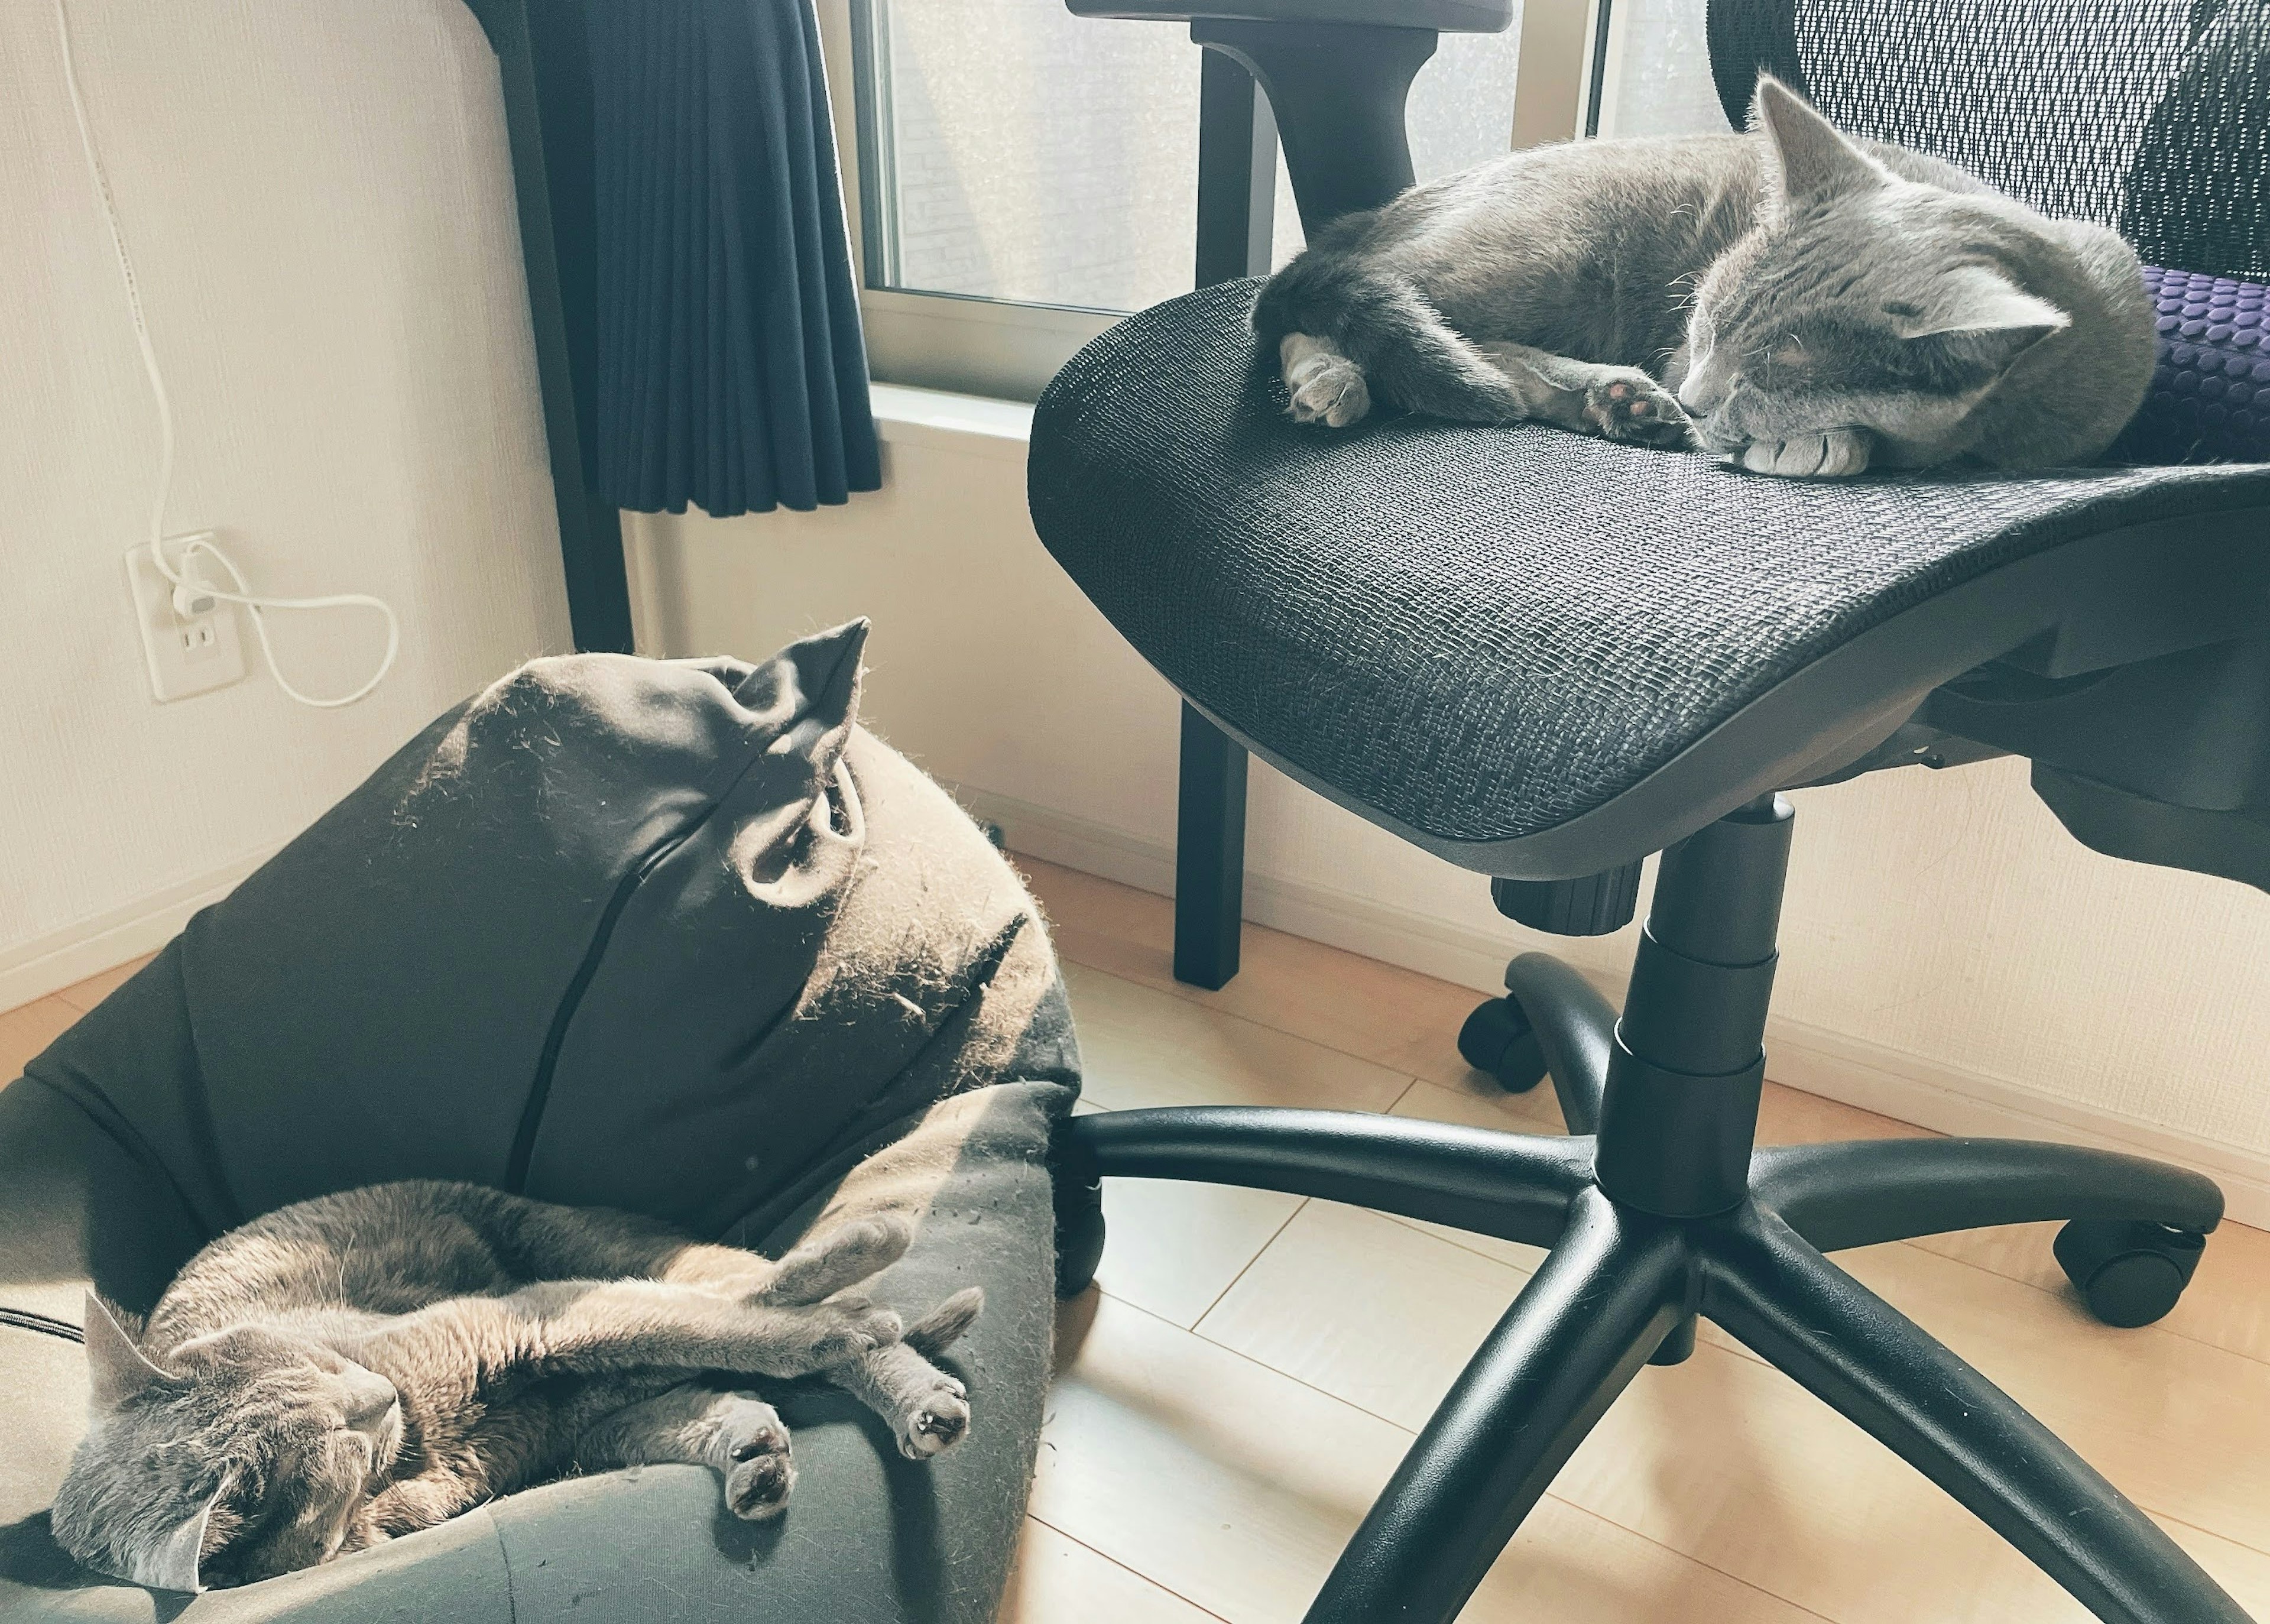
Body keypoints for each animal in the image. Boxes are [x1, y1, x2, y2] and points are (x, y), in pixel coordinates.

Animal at [48, 1181, 980, 1590]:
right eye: (329, 1453)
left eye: (321, 1366)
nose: (378, 1397)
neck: (419, 1452)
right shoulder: (559, 1402)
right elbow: (714, 1352)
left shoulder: (523, 1323)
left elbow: (732, 1323)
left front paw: (841, 1316)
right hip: (602, 1414)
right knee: (710, 1379)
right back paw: (758, 1457)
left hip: (596, 1255)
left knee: (759, 1289)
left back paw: (894, 1326)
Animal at [1271, 74, 2152, 476]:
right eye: (1700, 330)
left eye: (1758, 380)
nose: (1694, 397)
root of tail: (1384, 208)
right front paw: (1821, 444)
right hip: (1548, 249)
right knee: (1311, 300)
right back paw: (1332, 378)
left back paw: (1619, 403)